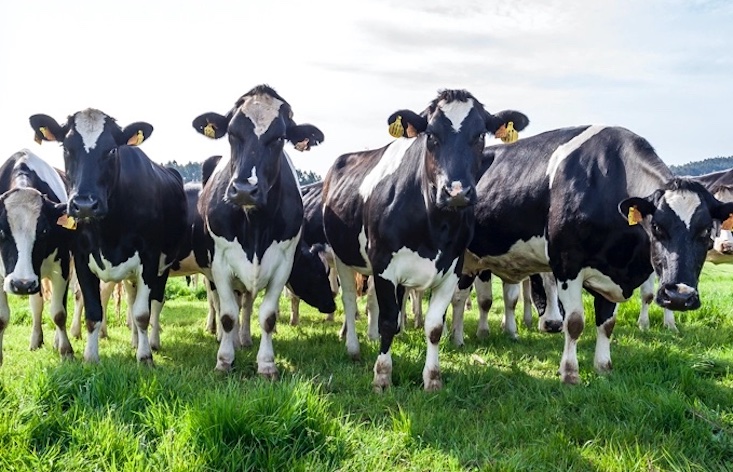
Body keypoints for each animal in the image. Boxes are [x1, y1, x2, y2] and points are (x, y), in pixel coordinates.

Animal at [0, 149, 73, 364]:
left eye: (44, 231)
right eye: (1, 231)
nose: (22, 284)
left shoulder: (62, 266)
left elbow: (59, 313)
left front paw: (66, 351)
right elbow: (2, 317)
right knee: (37, 304)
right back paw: (35, 340)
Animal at [29, 109, 189, 364]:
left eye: (112, 150)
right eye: (66, 147)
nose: (85, 204)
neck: (109, 231)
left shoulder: (150, 259)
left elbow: (143, 314)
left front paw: (145, 357)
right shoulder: (82, 259)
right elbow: (94, 312)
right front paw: (91, 357)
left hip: (164, 265)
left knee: (155, 303)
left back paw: (152, 342)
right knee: (132, 300)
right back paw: (134, 340)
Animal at [192, 85, 325, 376]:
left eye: (280, 138)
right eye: (231, 133)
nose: (244, 189)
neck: (254, 224)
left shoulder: (283, 263)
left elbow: (267, 316)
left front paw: (266, 364)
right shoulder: (219, 262)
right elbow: (227, 314)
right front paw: (224, 360)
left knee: (247, 304)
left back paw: (244, 339)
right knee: (222, 303)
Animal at [322, 88, 529, 391]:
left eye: (480, 135)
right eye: (430, 135)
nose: (456, 192)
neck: (434, 225)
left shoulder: (452, 268)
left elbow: (433, 327)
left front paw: (432, 378)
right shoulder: (383, 265)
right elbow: (386, 321)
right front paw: (382, 376)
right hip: (343, 256)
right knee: (349, 300)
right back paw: (353, 348)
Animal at [460, 125, 733, 384]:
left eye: (707, 231)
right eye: (656, 227)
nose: (679, 296)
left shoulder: (612, 272)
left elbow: (607, 324)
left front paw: (603, 368)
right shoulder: (567, 264)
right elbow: (574, 322)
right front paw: (570, 373)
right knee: (467, 298)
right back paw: (464, 337)